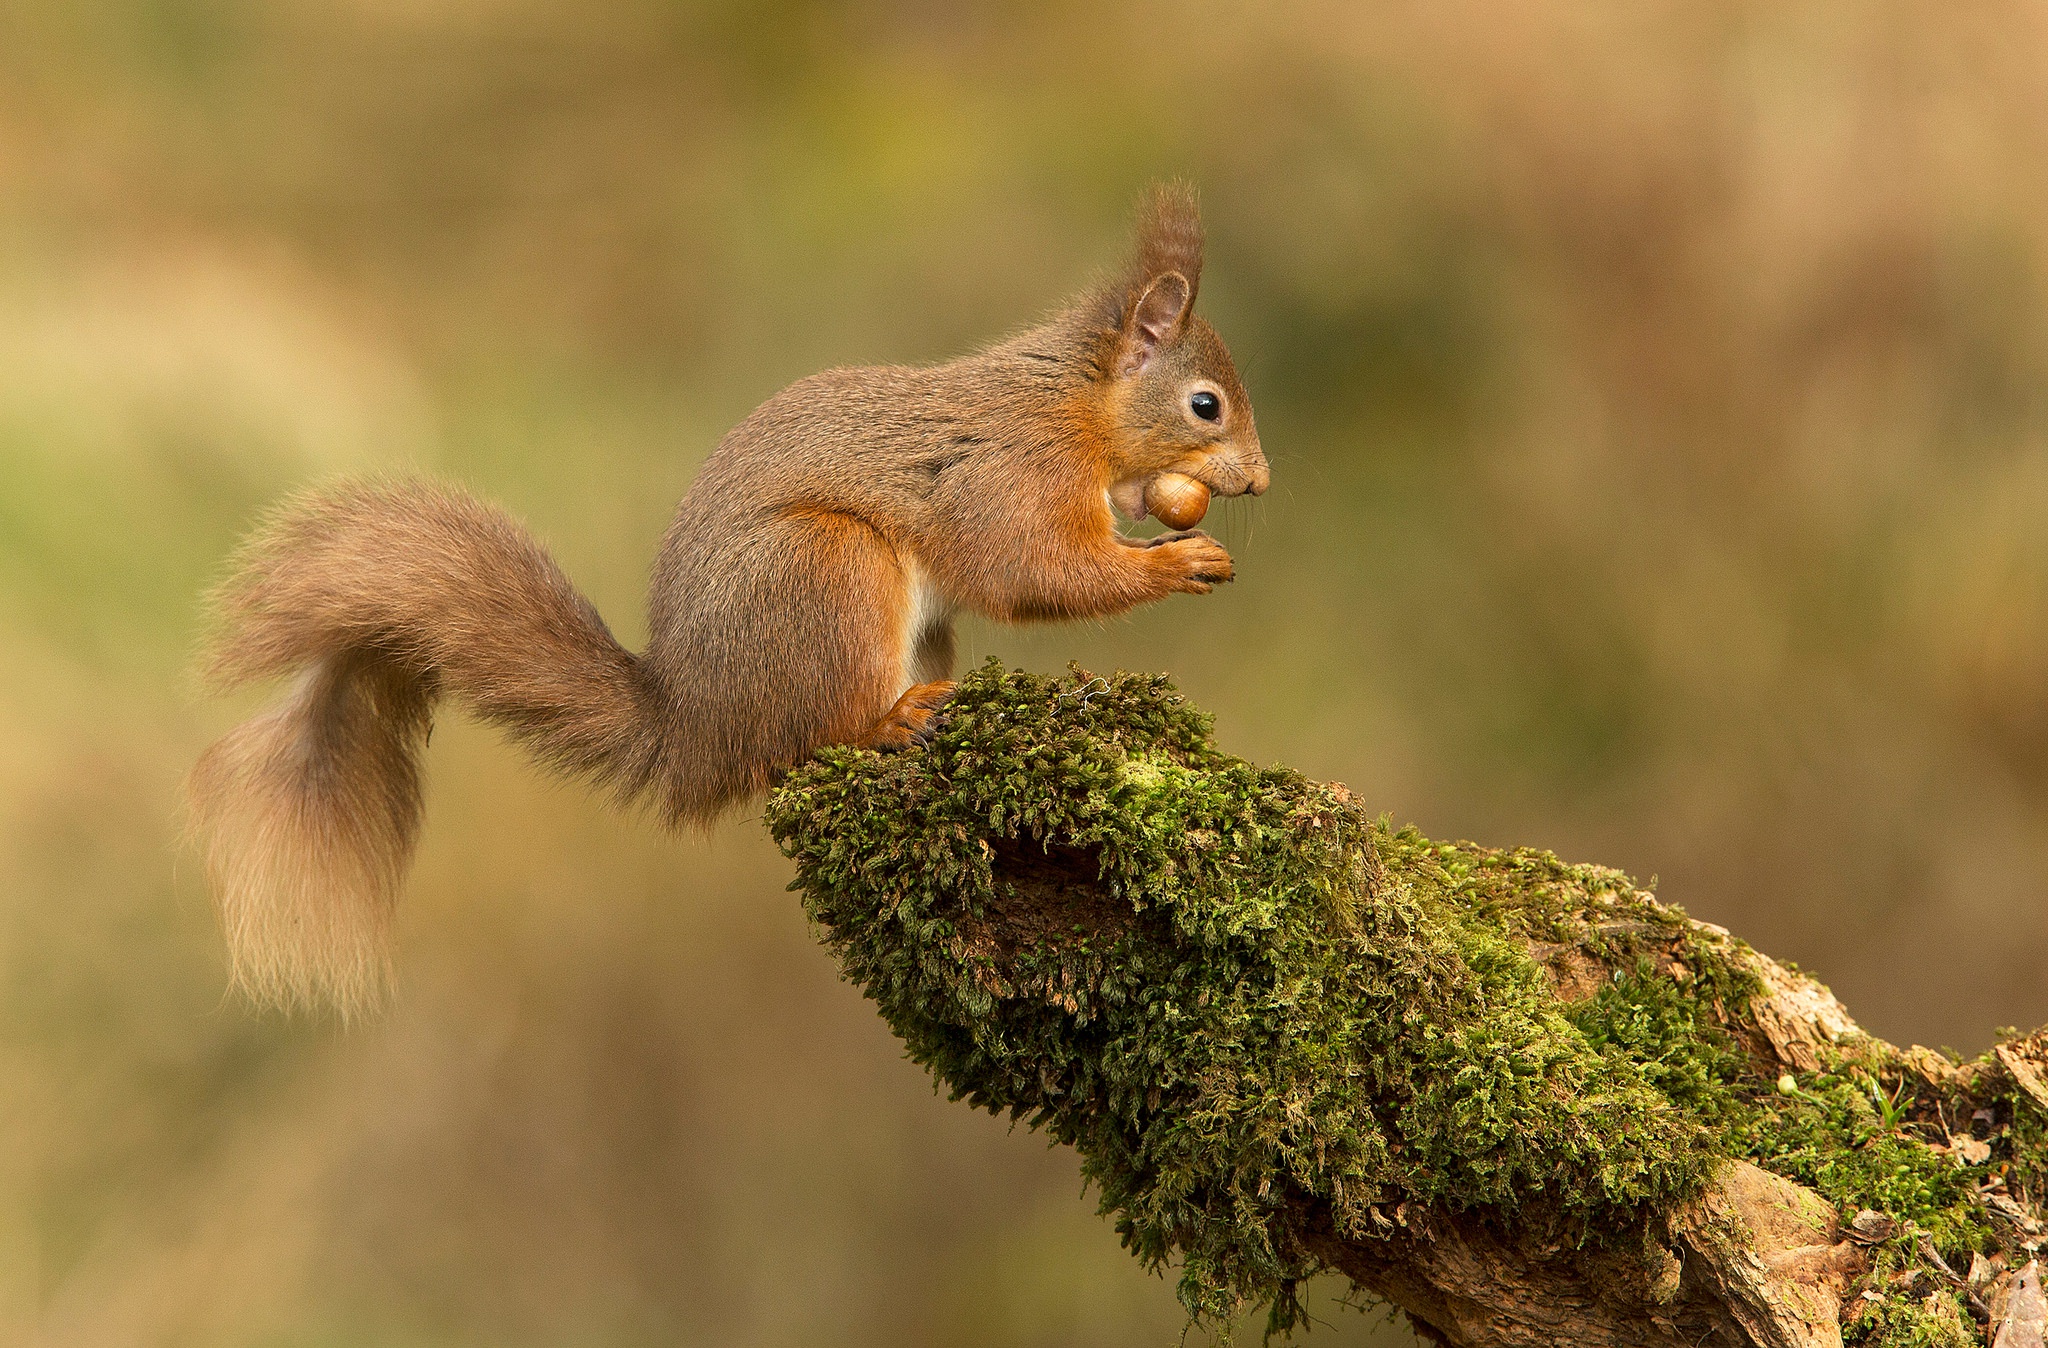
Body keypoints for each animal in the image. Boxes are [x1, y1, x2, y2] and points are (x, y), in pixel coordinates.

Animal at [192, 183, 1261, 1012]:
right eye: (1205, 405)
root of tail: (697, 727)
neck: (1071, 406)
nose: (1258, 480)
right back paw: (889, 721)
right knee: (811, 740)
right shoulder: (1009, 476)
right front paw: (1181, 561)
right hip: (829, 571)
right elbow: (1034, 571)